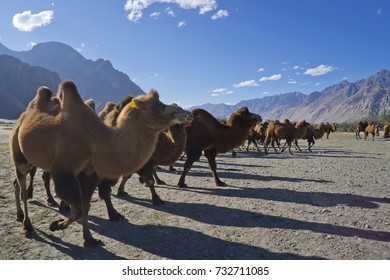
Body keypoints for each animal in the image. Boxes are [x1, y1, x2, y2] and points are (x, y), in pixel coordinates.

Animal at [9, 81, 192, 247]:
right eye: (158, 106)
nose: (186, 112)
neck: (96, 140)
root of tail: (22, 118)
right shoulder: (64, 170)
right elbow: (77, 209)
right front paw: (56, 225)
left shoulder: (90, 173)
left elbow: (84, 206)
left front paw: (89, 239)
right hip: (19, 153)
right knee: (23, 186)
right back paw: (27, 225)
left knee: (16, 183)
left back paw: (20, 215)